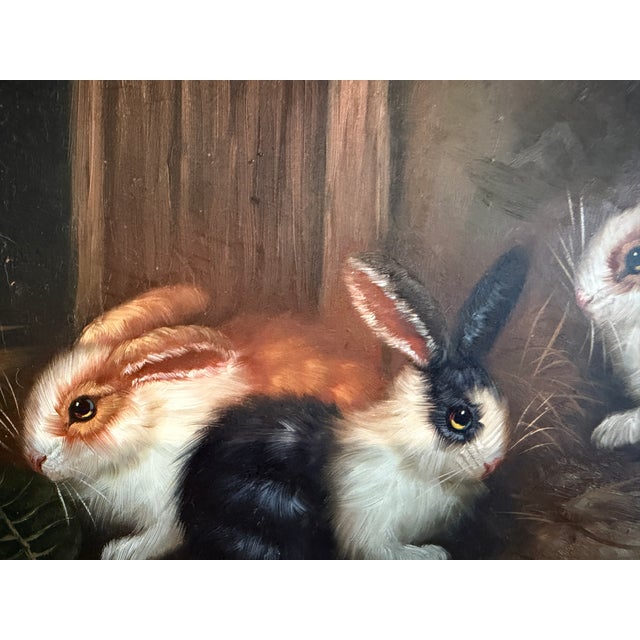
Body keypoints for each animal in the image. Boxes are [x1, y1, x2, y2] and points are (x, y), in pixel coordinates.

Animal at [21, 284, 386, 560]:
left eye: (82, 408)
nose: (33, 460)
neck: (146, 427)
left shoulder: (168, 508)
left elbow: (159, 538)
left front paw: (120, 551)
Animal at [178, 246, 530, 560]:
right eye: (460, 417)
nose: (494, 464)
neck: (412, 456)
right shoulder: (370, 530)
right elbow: (386, 552)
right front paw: (431, 554)